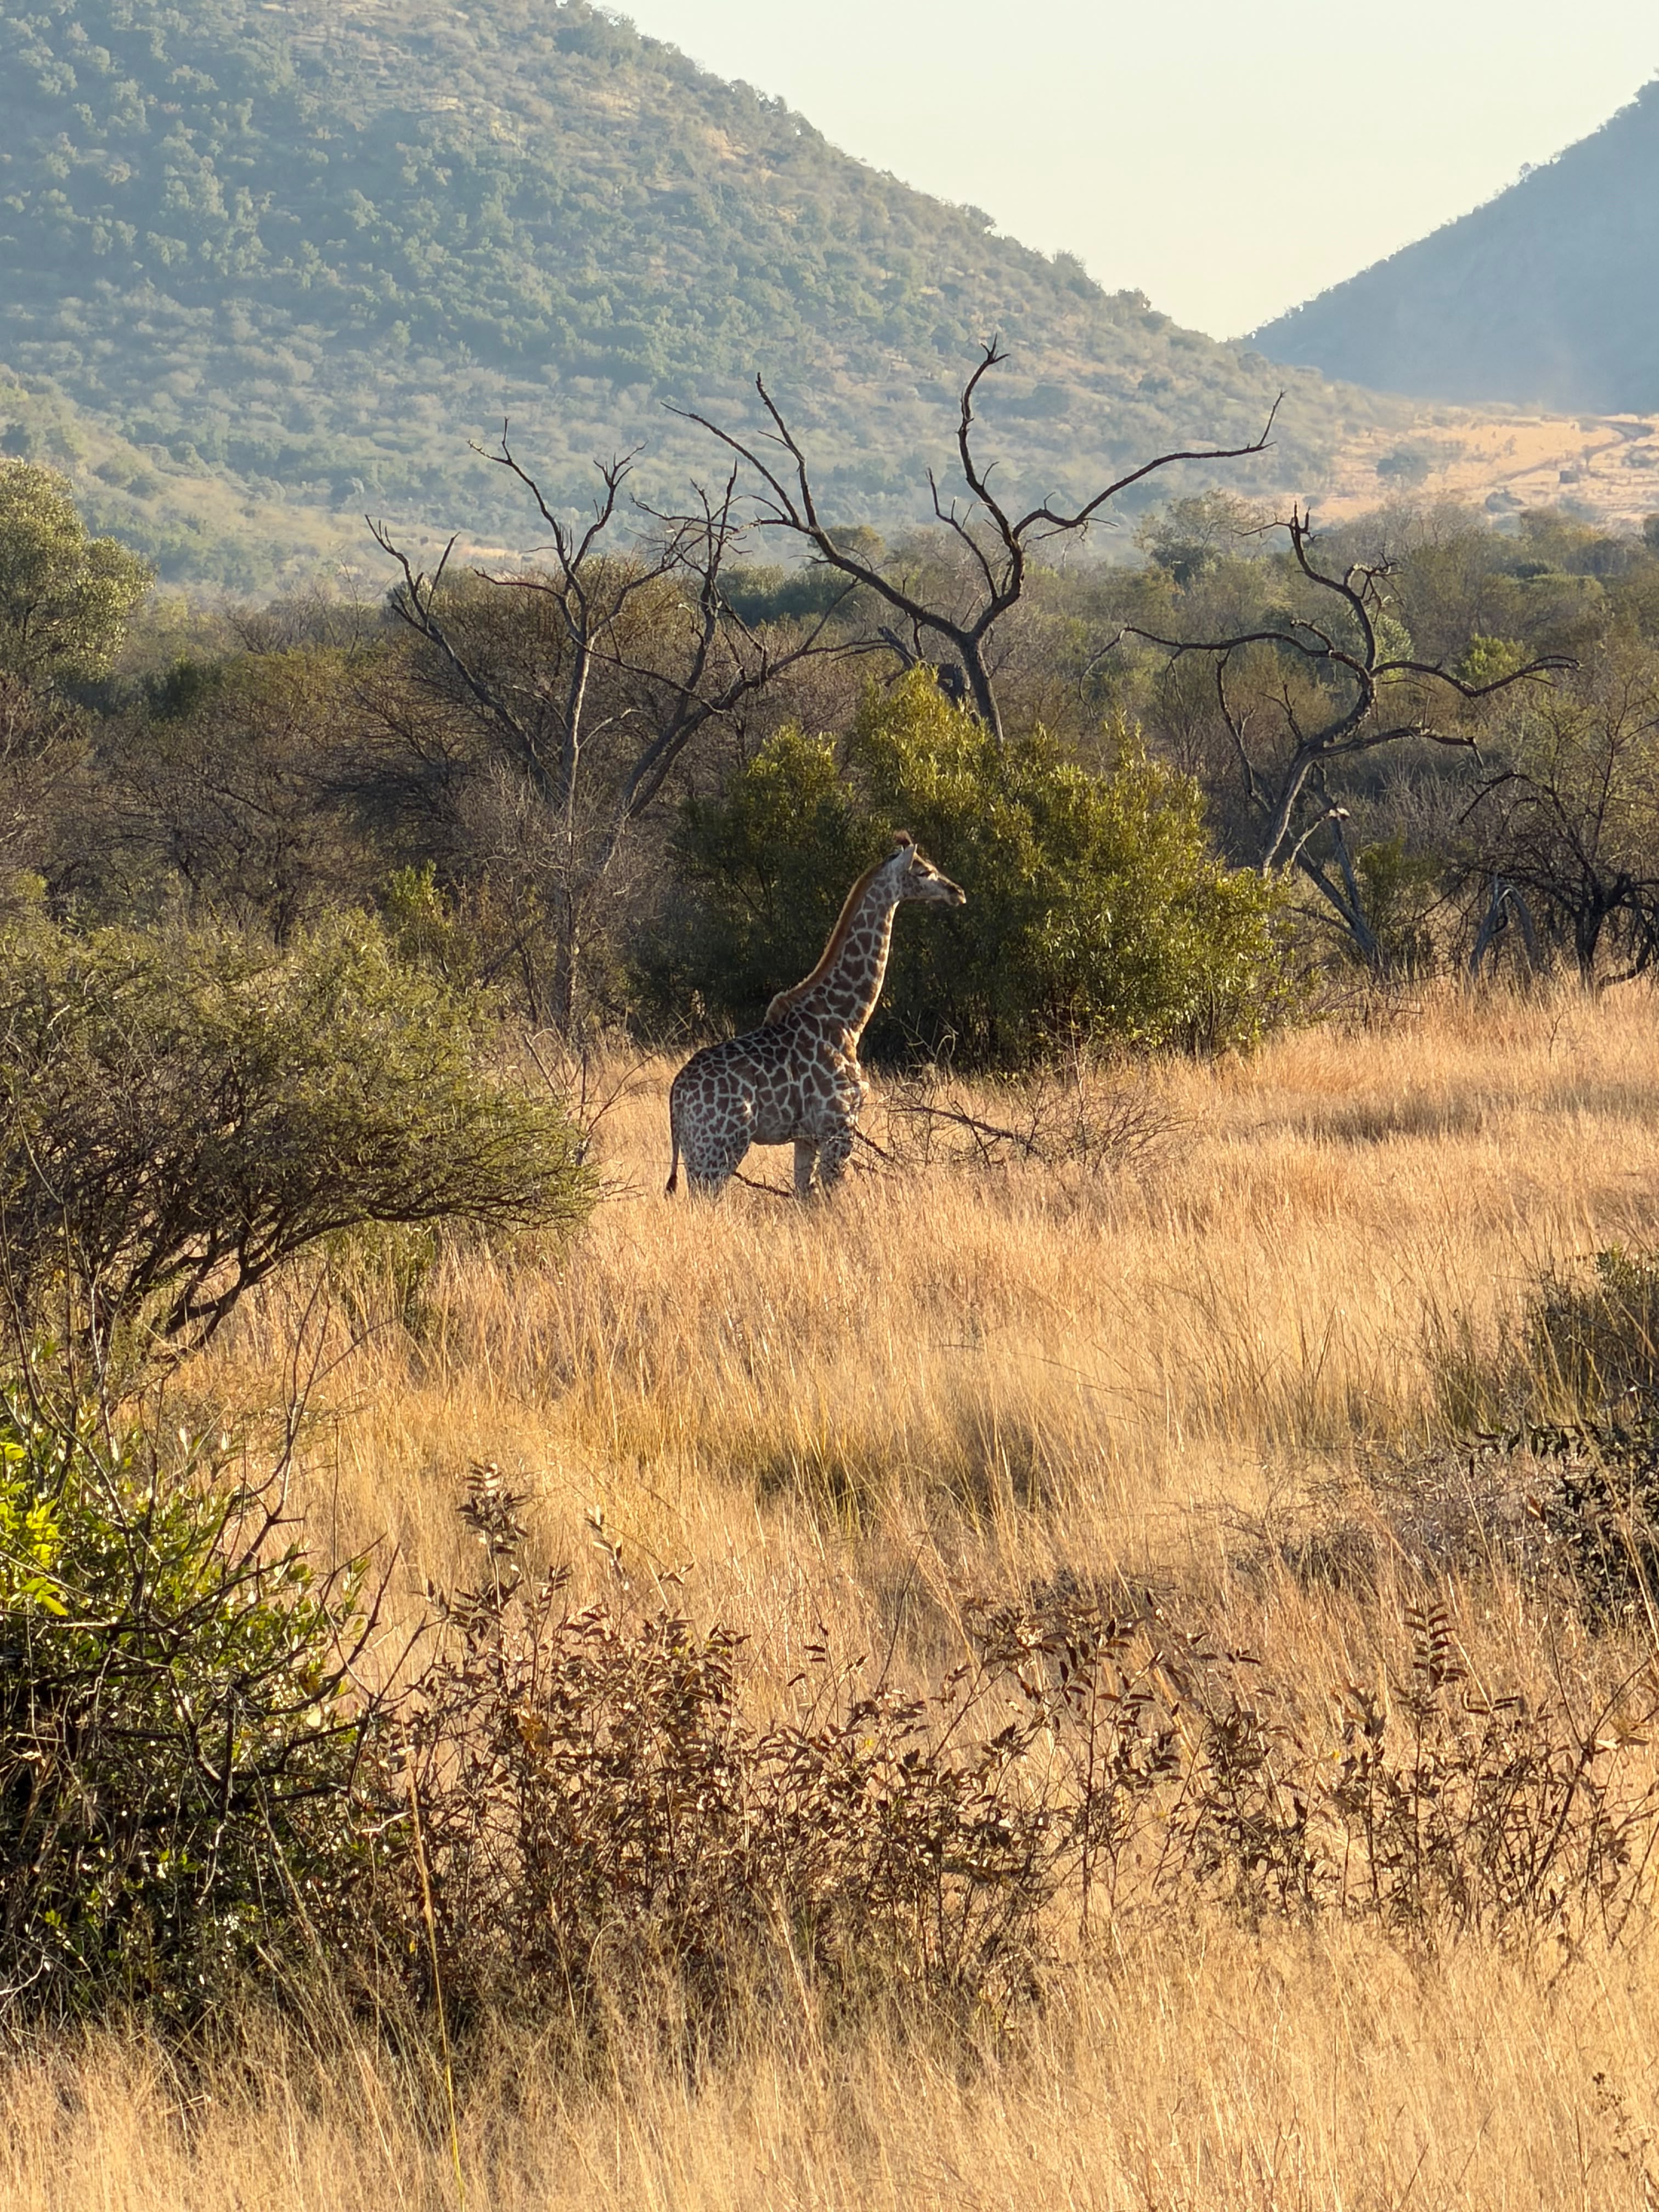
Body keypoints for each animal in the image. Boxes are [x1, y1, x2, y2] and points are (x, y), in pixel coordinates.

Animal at [666, 832, 966, 1198]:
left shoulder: (806, 1137)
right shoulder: (840, 1126)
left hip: (698, 1153)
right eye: (924, 871)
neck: (848, 1019)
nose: (957, 892)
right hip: (720, 1146)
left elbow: (804, 1193)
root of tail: (677, 1095)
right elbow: (831, 1193)